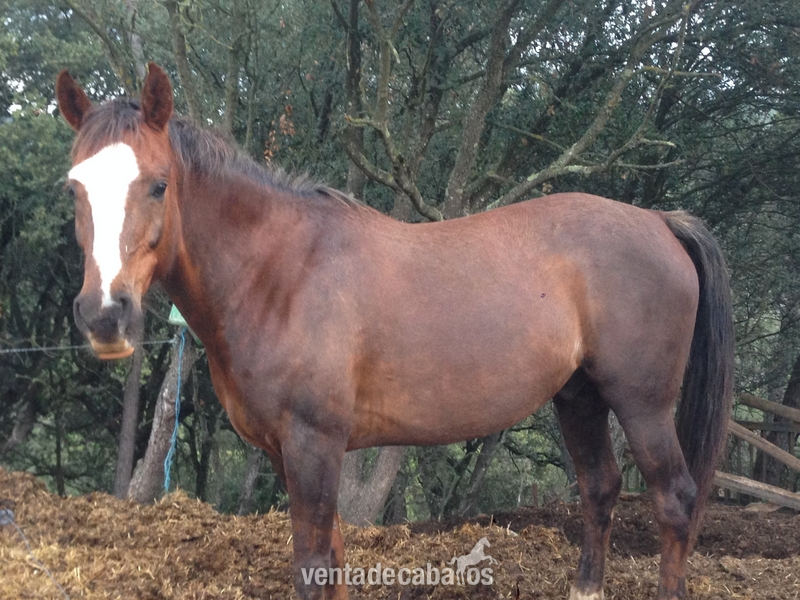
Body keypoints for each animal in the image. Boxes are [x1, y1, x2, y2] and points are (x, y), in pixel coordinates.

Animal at [56, 63, 733, 600]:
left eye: (158, 185)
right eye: (74, 190)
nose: (104, 314)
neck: (280, 270)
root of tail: (659, 221)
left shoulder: (313, 444)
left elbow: (313, 564)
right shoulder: (293, 452)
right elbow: (331, 557)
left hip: (642, 403)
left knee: (674, 499)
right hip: (581, 396)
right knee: (600, 489)